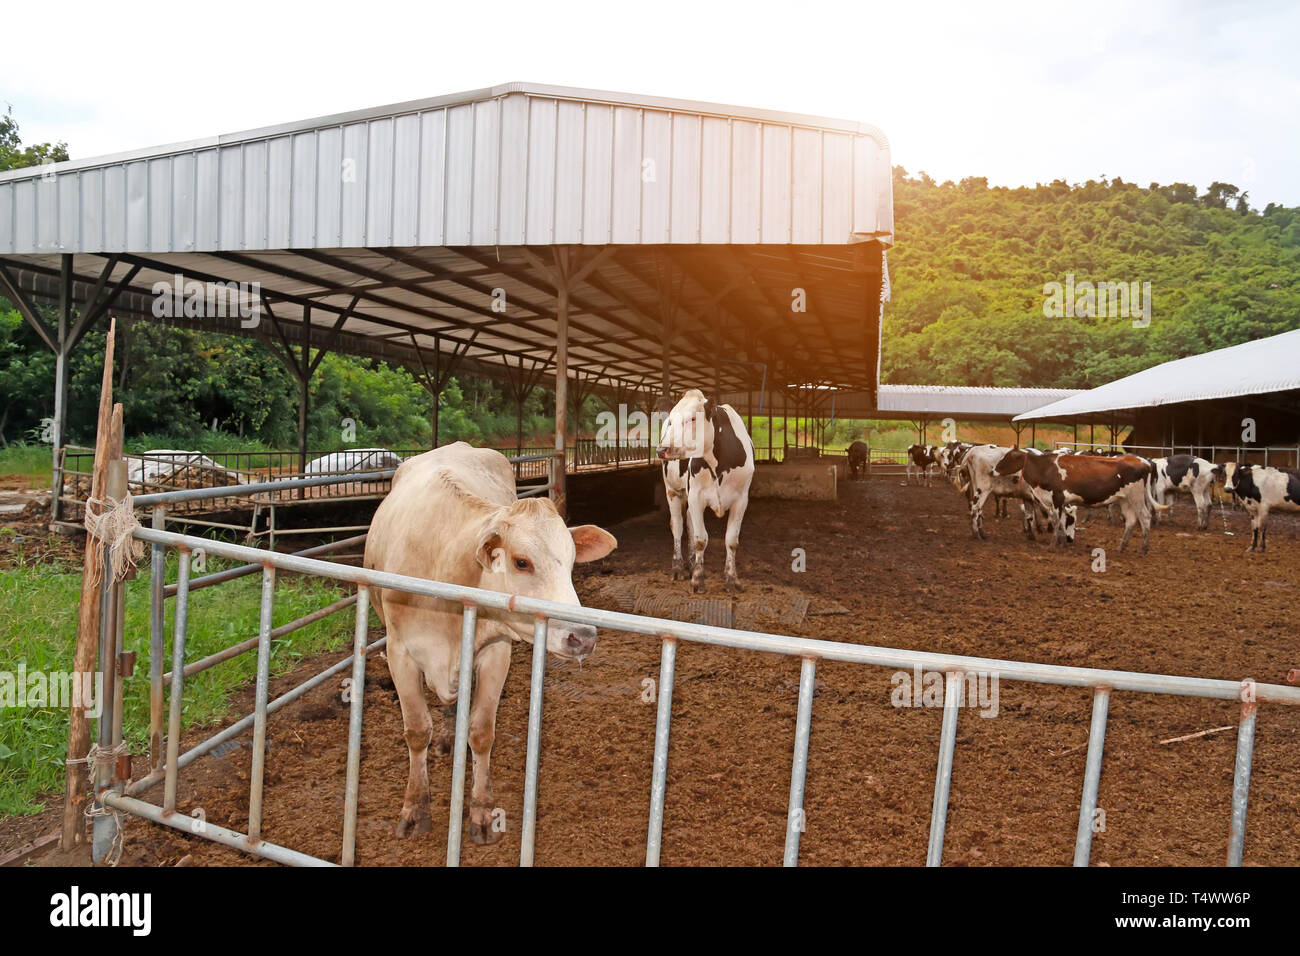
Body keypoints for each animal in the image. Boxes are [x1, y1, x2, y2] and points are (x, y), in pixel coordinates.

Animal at [361, 444, 613, 842]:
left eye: (573, 562)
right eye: (522, 562)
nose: (583, 637)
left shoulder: (496, 652)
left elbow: (481, 732)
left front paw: (481, 813)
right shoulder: (399, 653)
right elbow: (416, 731)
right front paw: (415, 809)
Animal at [655, 390, 759, 590]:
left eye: (693, 418)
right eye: (671, 420)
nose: (662, 449)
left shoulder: (742, 500)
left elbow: (731, 540)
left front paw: (731, 578)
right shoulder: (696, 496)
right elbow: (700, 539)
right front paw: (698, 578)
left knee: (688, 523)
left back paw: (690, 564)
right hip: (672, 490)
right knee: (677, 525)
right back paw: (678, 568)